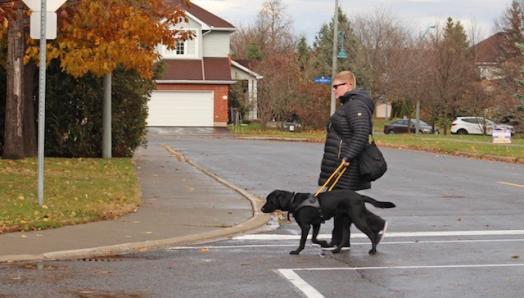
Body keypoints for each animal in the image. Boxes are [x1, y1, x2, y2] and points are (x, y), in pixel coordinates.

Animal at [260, 190, 396, 255]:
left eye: (270, 200)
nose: (261, 209)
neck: (294, 201)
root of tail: (360, 196)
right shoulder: (316, 224)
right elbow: (314, 239)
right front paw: (324, 243)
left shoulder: (306, 226)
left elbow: (303, 241)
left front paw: (297, 251)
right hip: (344, 220)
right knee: (346, 235)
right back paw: (337, 250)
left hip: (357, 218)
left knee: (371, 234)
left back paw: (373, 250)